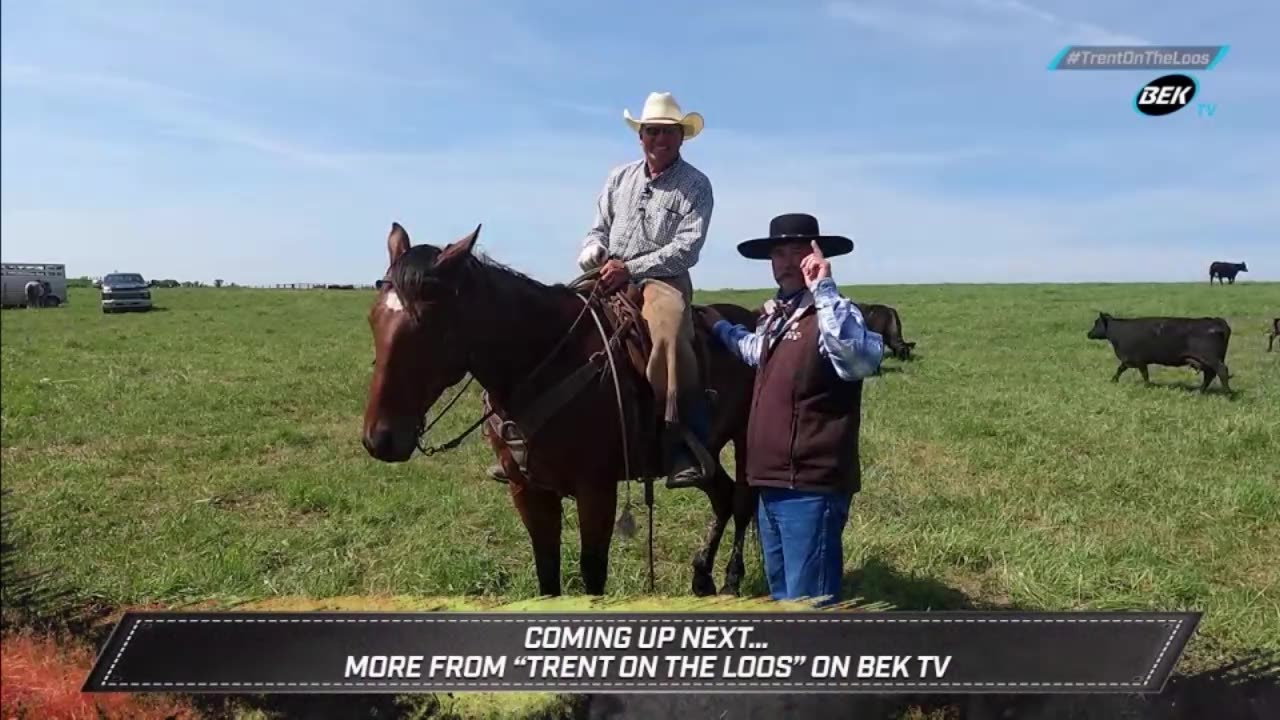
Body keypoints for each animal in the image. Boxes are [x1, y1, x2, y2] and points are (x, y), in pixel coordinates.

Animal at [360, 222, 757, 594]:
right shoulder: (527, 491)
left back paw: (731, 580)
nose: (380, 439)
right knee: (722, 496)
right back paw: (702, 576)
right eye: (373, 318)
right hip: (710, 449)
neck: (549, 361)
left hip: (745, 437)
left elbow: (593, 573)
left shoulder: (597, 490)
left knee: (741, 501)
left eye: (428, 326)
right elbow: (547, 572)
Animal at [1090, 311, 1228, 392]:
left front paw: (1147, 386)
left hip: (1210, 358)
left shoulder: (1139, 360)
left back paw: (1228, 394)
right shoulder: (1129, 360)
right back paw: (1200, 391)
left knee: (1221, 371)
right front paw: (1113, 380)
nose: (1088, 334)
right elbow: (1120, 369)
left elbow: (1144, 374)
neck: (1119, 331)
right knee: (1210, 374)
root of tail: (1216, 320)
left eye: (1096, 323)